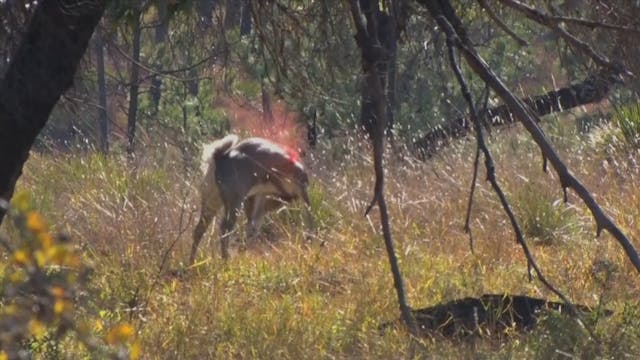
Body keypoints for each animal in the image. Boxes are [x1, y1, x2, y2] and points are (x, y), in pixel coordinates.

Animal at [189, 134, 314, 262]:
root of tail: (219, 157)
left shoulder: (257, 200)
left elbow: (252, 228)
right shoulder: (298, 193)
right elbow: (309, 217)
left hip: (212, 202)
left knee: (199, 230)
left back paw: (192, 262)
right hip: (234, 203)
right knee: (225, 229)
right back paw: (225, 259)